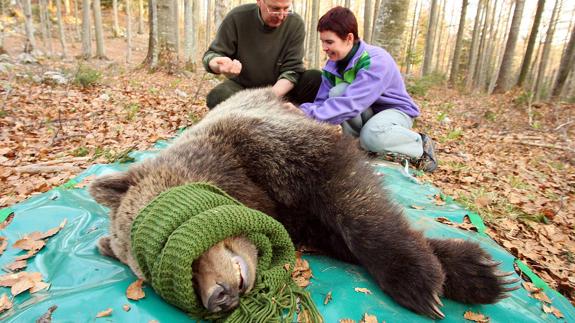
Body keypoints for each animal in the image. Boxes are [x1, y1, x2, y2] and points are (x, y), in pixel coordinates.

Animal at [89, 88, 516, 318]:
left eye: (165, 237)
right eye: (153, 274)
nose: (217, 297)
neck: (246, 187)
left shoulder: (274, 150)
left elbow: (354, 201)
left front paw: (426, 279)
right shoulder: (295, 218)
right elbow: (336, 235)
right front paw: (476, 271)